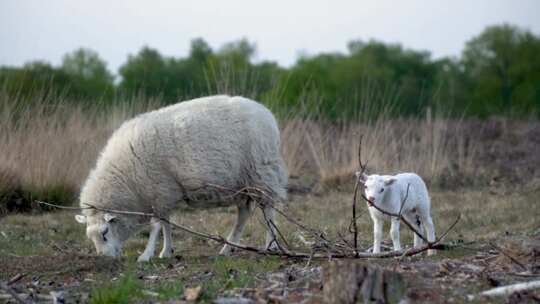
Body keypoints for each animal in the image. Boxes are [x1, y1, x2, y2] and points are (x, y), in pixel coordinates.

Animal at [75, 95, 292, 262]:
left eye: (104, 233)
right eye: (91, 237)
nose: (104, 258)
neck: (126, 180)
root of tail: (268, 114)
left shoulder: (159, 190)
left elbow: (156, 225)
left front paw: (146, 255)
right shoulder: (164, 194)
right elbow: (166, 225)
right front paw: (166, 252)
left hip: (261, 172)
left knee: (268, 210)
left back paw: (270, 246)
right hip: (241, 183)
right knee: (244, 213)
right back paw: (227, 248)